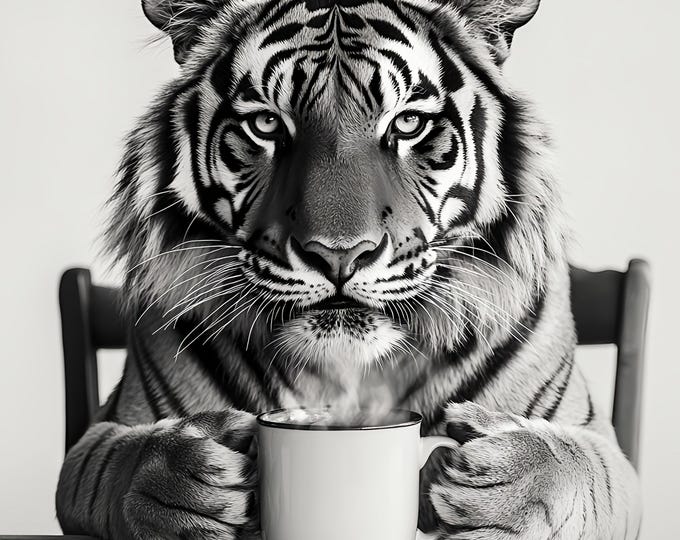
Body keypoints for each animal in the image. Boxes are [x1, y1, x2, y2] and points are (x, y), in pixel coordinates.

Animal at [55, 0, 642, 538]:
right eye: (266, 123)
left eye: (408, 123)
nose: (340, 253)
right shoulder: (100, 434)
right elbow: (115, 464)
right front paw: (181, 479)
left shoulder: (605, 446)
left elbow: (580, 464)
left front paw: (508, 484)